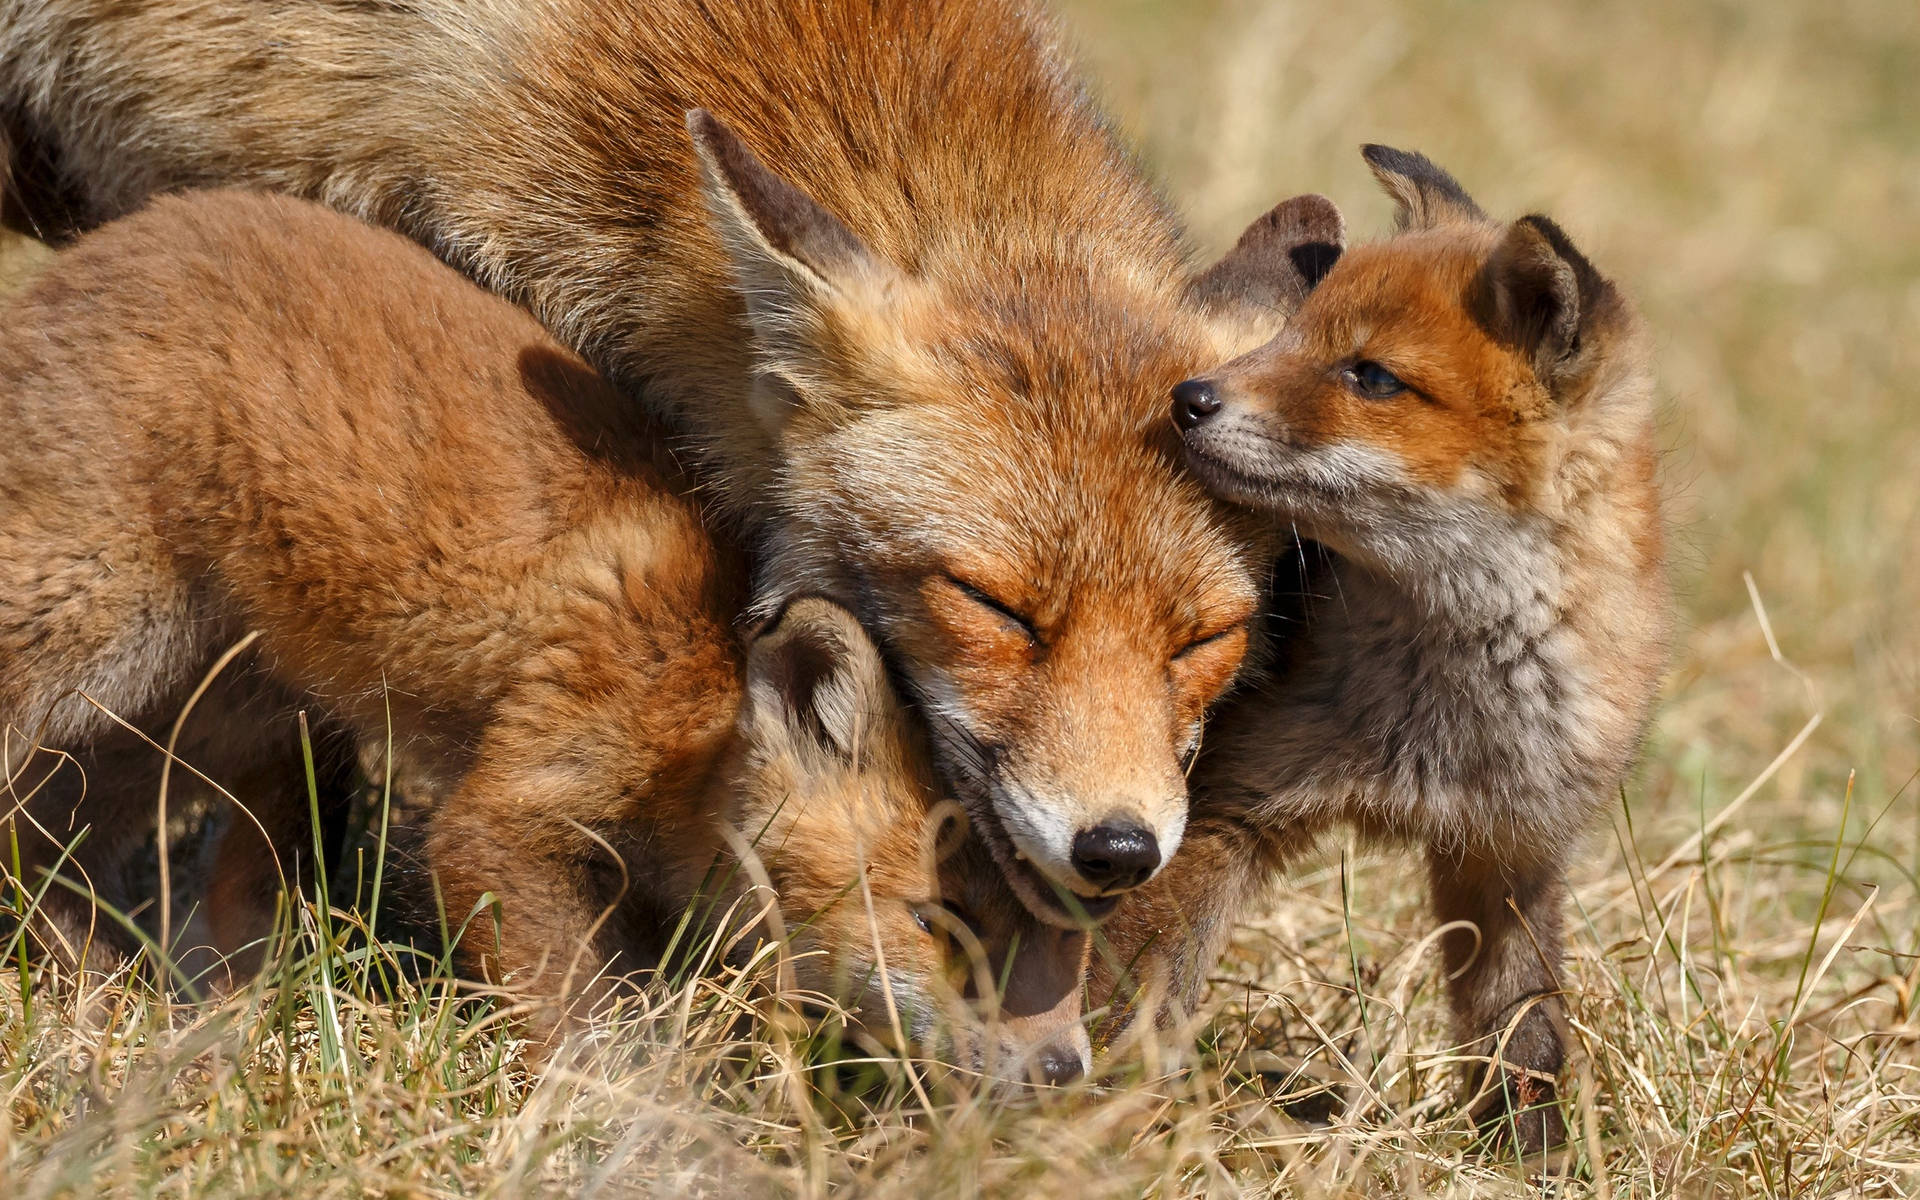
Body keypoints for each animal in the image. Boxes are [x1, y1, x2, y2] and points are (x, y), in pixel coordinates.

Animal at [0, 192, 1082, 1082]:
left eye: (1065, 940)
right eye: (940, 923)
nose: (1067, 1068)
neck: (697, 700)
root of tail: (99, 248)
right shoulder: (506, 819)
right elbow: (584, 1025)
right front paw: (641, 1126)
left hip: (199, 713)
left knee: (45, 840)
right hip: (91, 629)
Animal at [1105, 144, 1674, 1144]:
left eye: (1371, 377)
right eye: (1291, 333)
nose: (1187, 398)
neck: (1444, 714)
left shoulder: (1512, 851)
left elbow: (1524, 1030)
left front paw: (1528, 1155)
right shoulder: (1218, 808)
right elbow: (1144, 994)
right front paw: (1101, 1119)